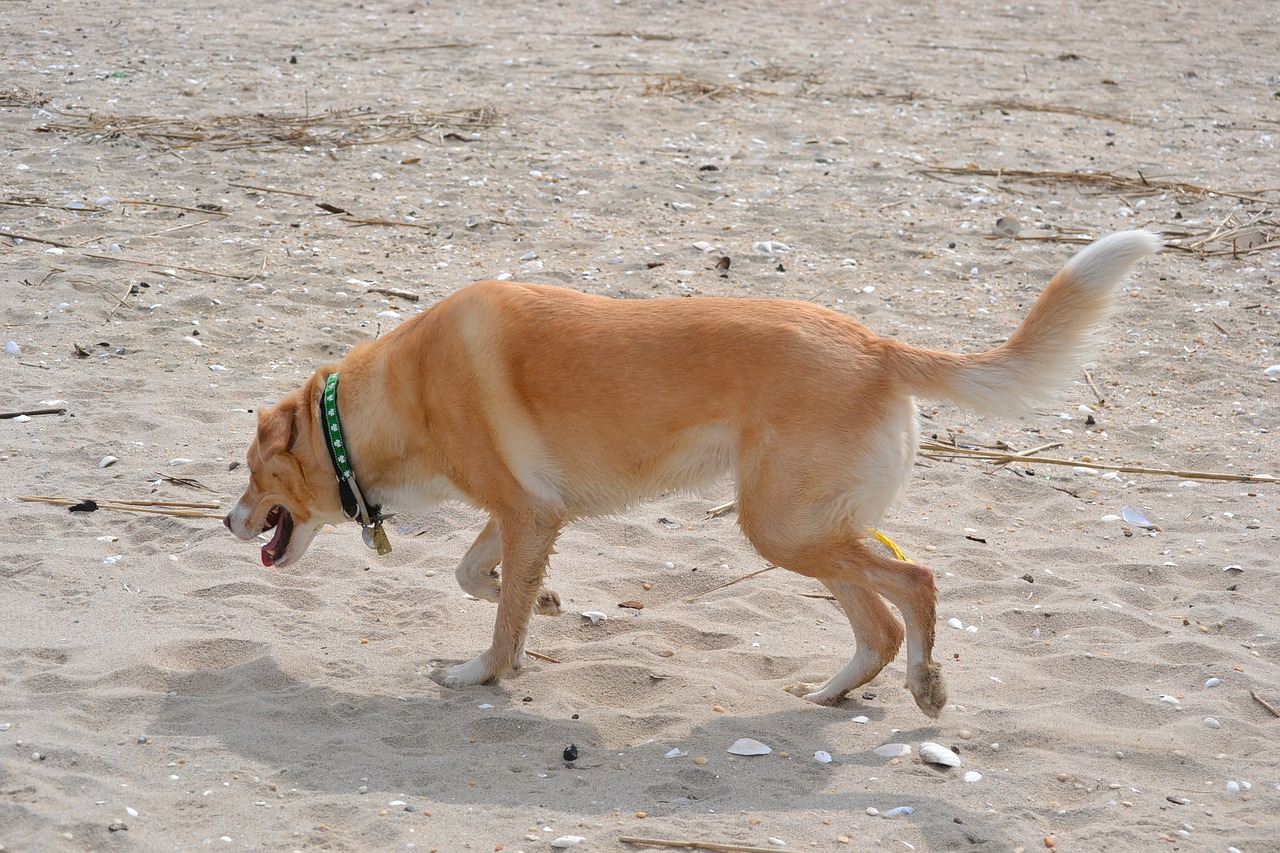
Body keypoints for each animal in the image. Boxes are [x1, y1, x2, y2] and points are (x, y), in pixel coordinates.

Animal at [227, 229, 1162, 712]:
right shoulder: (531, 512)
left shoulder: (527, 512)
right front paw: (540, 602)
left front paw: (482, 671)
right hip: (805, 528)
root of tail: (876, 346)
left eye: (250, 473)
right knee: (881, 621)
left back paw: (924, 683)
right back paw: (834, 692)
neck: (384, 402)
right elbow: (479, 577)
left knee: (917, 583)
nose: (228, 521)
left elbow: (496, 624)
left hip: (779, 526)